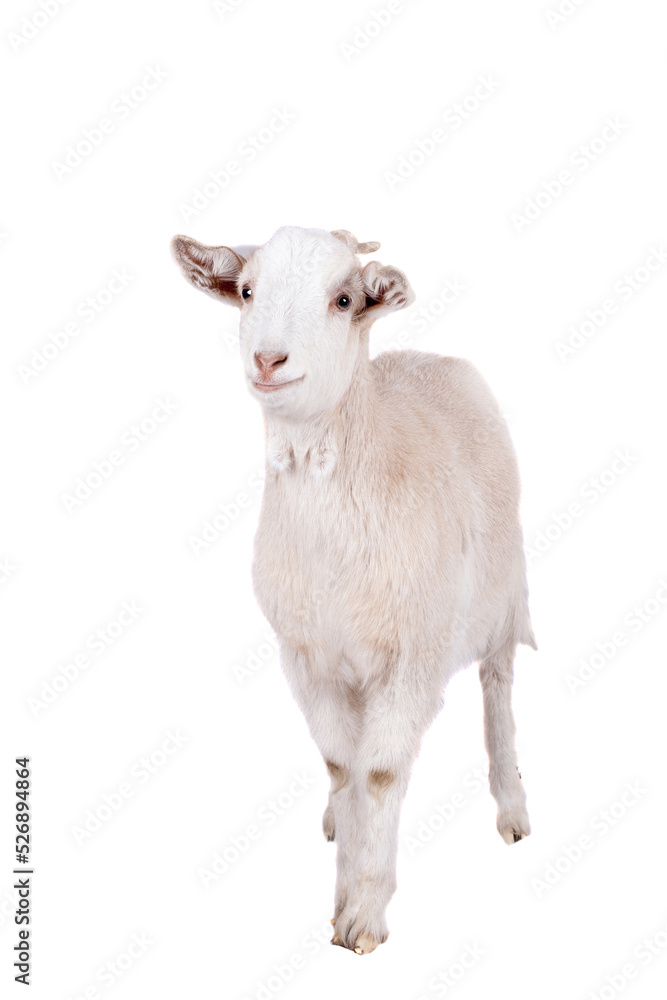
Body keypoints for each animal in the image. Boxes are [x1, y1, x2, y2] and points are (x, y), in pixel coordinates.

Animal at [171, 225, 537, 955]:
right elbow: (343, 765)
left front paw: (364, 916)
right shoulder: (307, 657)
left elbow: (380, 773)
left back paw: (511, 806)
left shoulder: (411, 656)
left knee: (498, 689)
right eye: (246, 290)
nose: (268, 359)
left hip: (502, 590)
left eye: (343, 300)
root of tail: (428, 356)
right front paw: (344, 882)